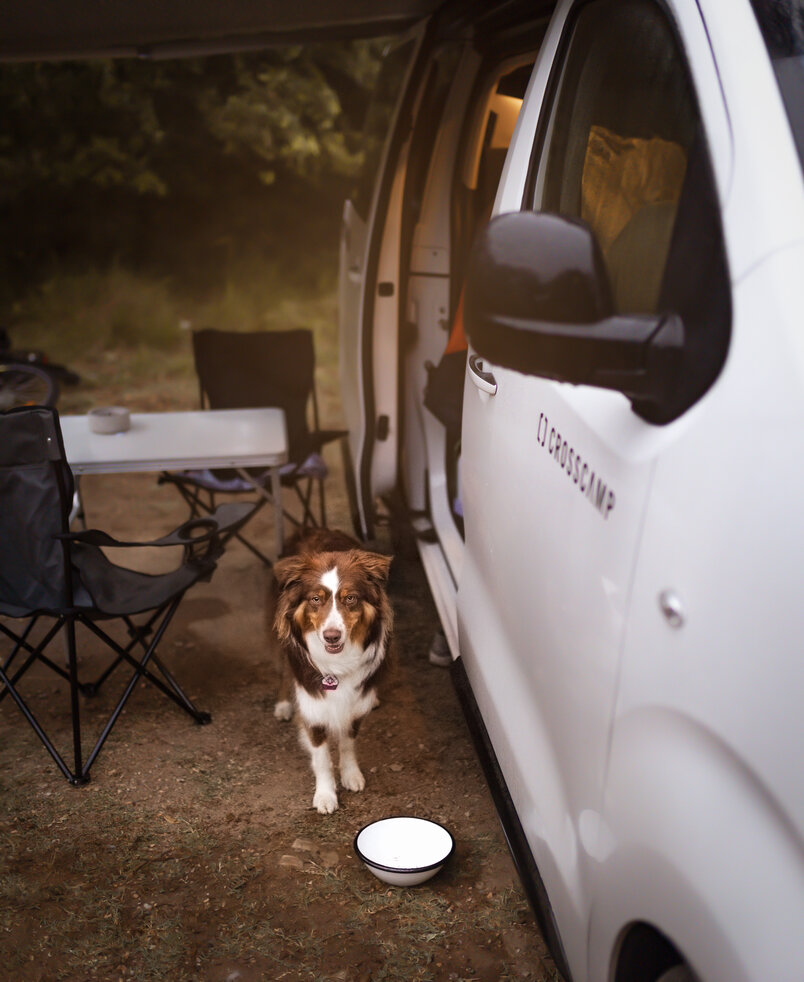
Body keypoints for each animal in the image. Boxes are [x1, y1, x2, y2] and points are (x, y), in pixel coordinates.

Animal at [274, 532, 392, 816]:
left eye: (350, 598)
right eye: (316, 599)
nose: (332, 636)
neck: (336, 666)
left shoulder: (353, 709)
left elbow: (348, 745)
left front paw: (351, 775)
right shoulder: (314, 711)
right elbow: (322, 758)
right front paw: (325, 795)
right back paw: (283, 705)